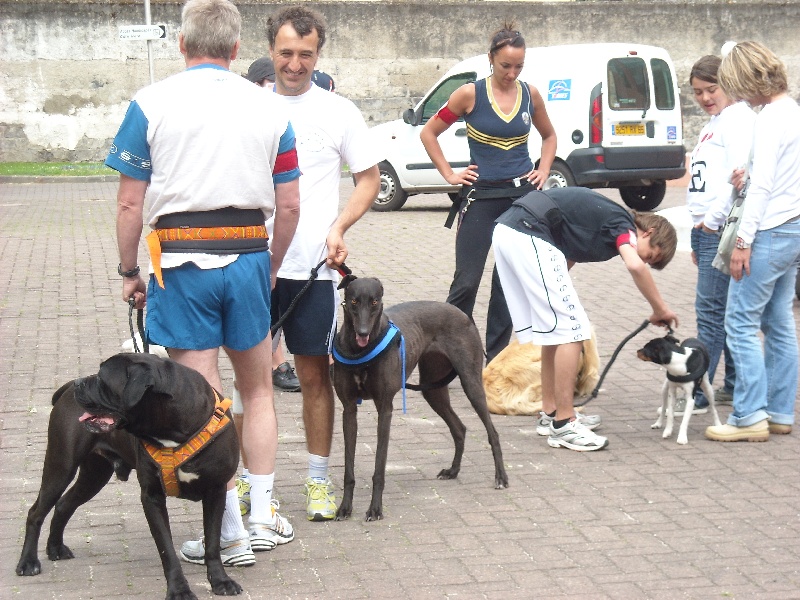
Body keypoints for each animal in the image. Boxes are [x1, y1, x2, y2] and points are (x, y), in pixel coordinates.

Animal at [15, 354, 241, 596]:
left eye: (102, 378)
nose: (79, 382)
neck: (172, 429)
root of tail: (65, 390)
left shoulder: (216, 491)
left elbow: (213, 542)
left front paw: (220, 581)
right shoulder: (152, 497)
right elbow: (167, 550)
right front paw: (179, 590)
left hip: (94, 476)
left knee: (64, 504)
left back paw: (55, 547)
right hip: (61, 467)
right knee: (36, 513)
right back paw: (28, 562)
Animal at [332, 276, 510, 520]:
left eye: (375, 301)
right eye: (353, 301)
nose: (363, 332)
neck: (361, 352)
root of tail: (464, 315)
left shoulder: (385, 409)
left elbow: (379, 466)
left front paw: (375, 509)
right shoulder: (349, 409)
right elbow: (348, 467)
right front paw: (345, 508)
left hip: (471, 383)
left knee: (493, 432)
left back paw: (501, 477)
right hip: (433, 390)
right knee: (459, 428)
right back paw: (453, 470)